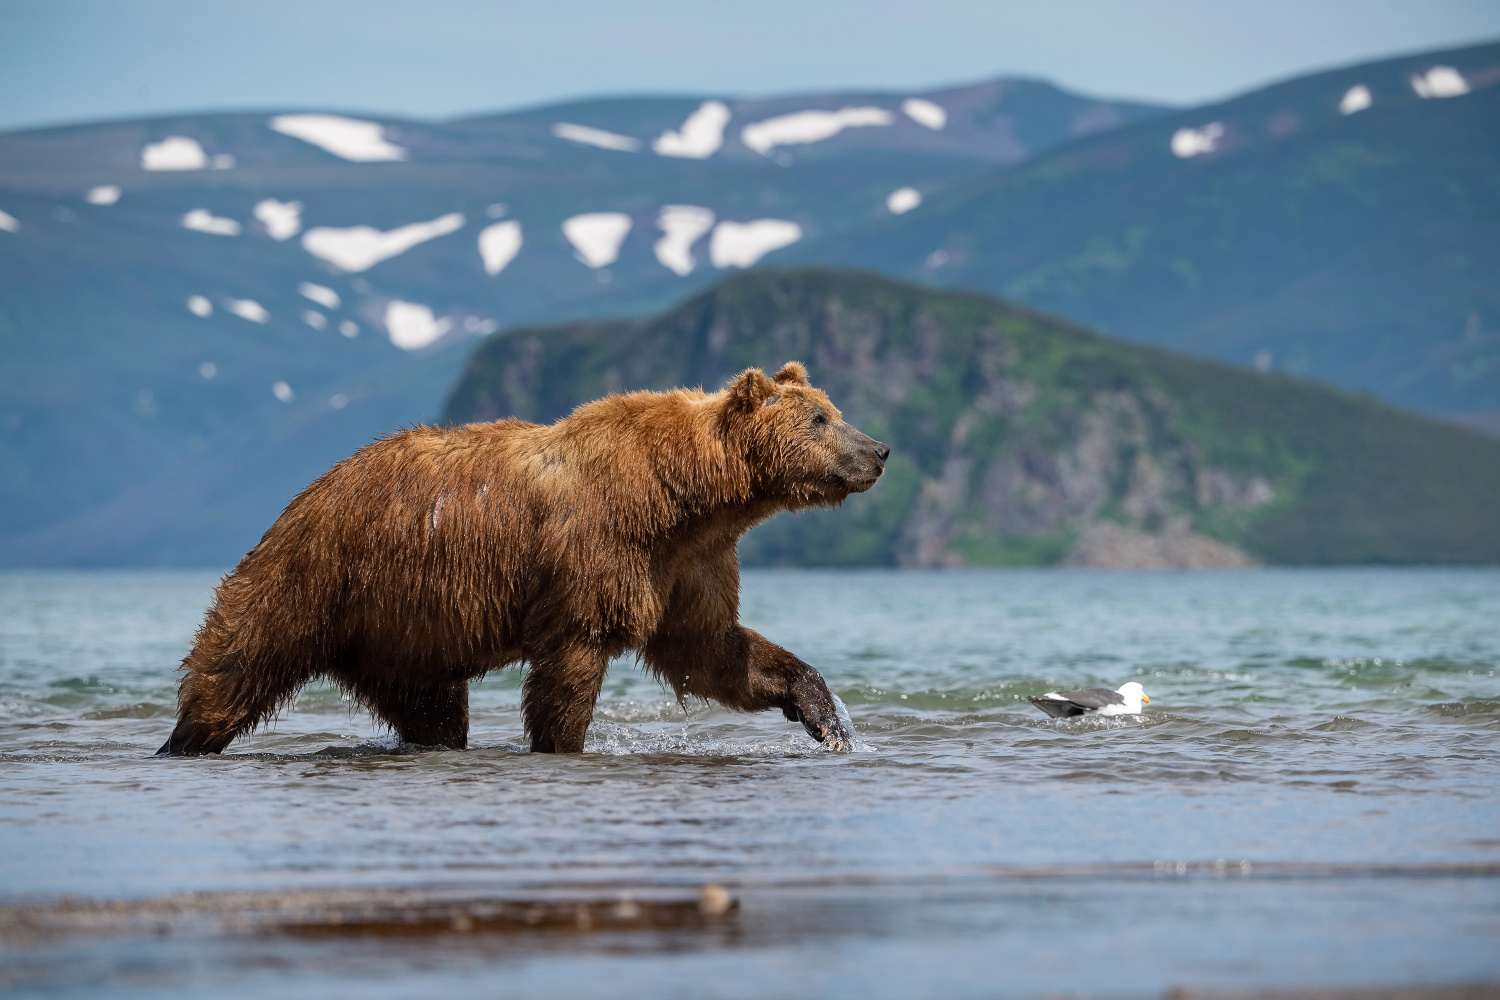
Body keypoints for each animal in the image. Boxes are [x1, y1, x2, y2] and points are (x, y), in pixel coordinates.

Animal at [158, 364, 882, 755]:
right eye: (820, 419)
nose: (878, 450)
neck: (685, 495)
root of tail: (310, 490)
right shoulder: (601, 549)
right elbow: (571, 667)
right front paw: (562, 743)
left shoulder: (689, 565)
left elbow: (714, 651)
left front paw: (823, 713)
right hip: (317, 574)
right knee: (238, 658)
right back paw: (182, 739)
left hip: (403, 637)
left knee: (435, 715)